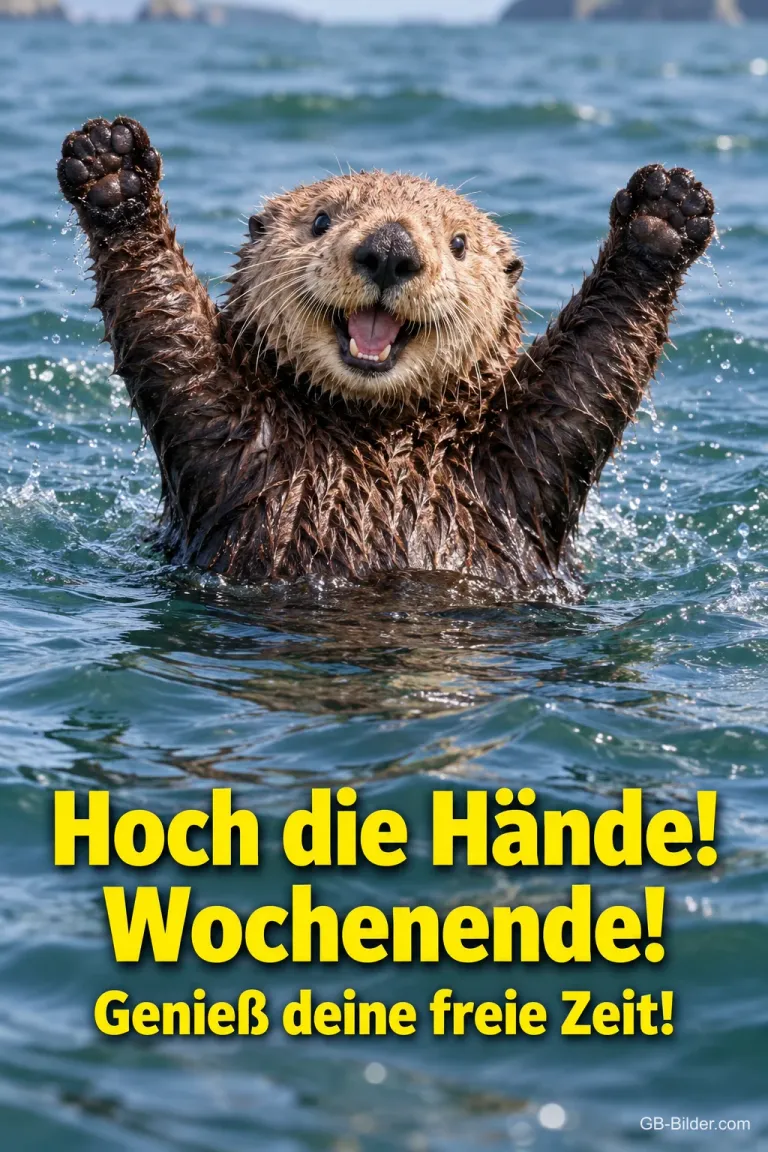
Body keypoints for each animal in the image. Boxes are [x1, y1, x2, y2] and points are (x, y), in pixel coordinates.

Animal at [57, 117, 715, 592]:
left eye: (458, 243)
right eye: (321, 220)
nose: (391, 248)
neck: (380, 437)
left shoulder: (531, 456)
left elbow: (591, 364)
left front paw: (663, 214)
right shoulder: (217, 430)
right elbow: (167, 329)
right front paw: (112, 169)